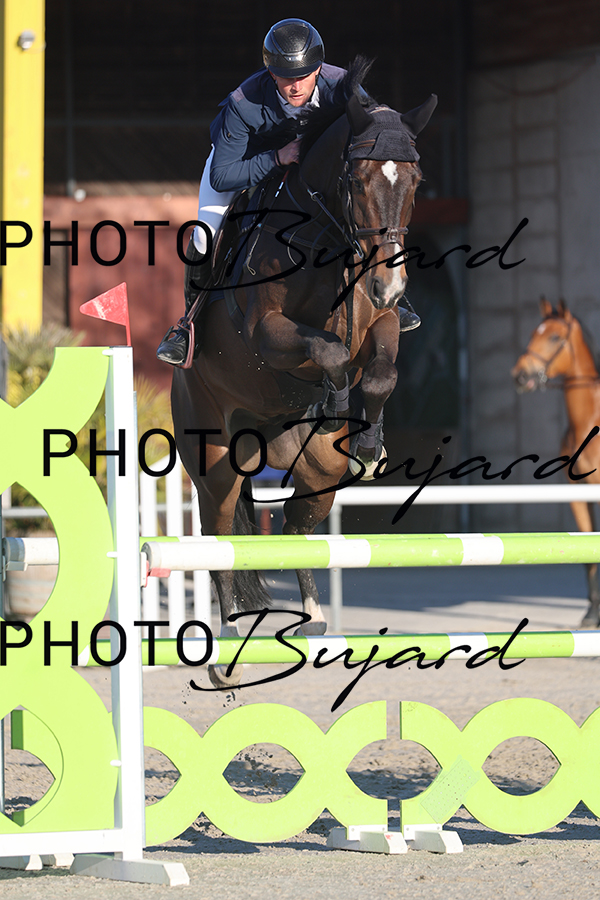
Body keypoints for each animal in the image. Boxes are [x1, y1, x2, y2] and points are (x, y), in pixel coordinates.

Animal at [171, 58, 437, 685]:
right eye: (357, 180)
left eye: (414, 182)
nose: (389, 283)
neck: (323, 236)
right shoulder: (267, 333)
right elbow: (332, 354)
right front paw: (336, 401)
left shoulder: (378, 323)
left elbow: (379, 371)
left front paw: (367, 439)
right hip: (213, 456)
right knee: (221, 530)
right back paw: (228, 642)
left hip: (317, 471)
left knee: (295, 525)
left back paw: (313, 617)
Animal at [512, 297, 600, 627]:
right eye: (533, 333)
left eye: (553, 337)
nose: (520, 375)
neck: (589, 423)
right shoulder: (578, 495)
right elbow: (587, 552)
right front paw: (592, 613)